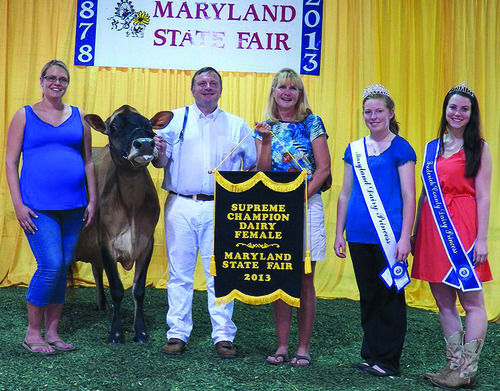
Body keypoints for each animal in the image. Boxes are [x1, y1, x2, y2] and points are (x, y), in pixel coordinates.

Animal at [74, 105, 174, 344]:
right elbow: (117, 289)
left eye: (148, 124)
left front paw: (141, 332)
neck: (131, 205)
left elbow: (138, 290)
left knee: (96, 268)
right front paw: (116, 333)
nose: (145, 143)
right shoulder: (105, 241)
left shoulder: (146, 243)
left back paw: (102, 304)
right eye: (114, 127)